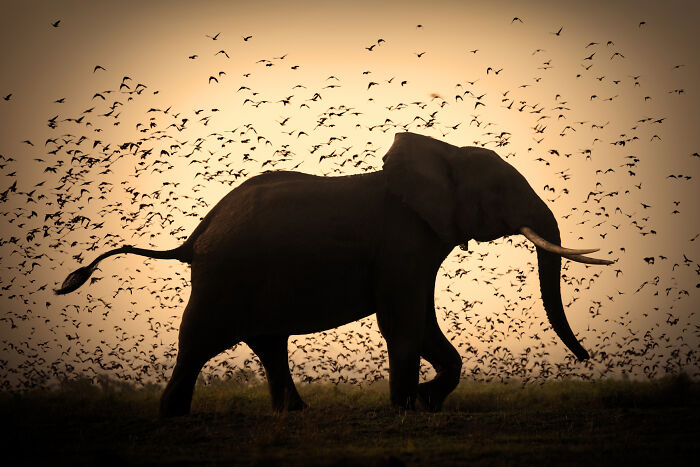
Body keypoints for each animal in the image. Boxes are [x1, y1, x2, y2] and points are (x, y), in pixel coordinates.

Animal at [55, 132, 613, 417]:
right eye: (500, 193)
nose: (588, 358)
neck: (443, 154)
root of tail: (196, 234)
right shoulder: (402, 240)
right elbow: (402, 321)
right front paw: (408, 410)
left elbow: (420, 320)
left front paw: (426, 403)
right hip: (223, 276)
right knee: (199, 340)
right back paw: (172, 419)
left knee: (268, 342)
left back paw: (294, 414)